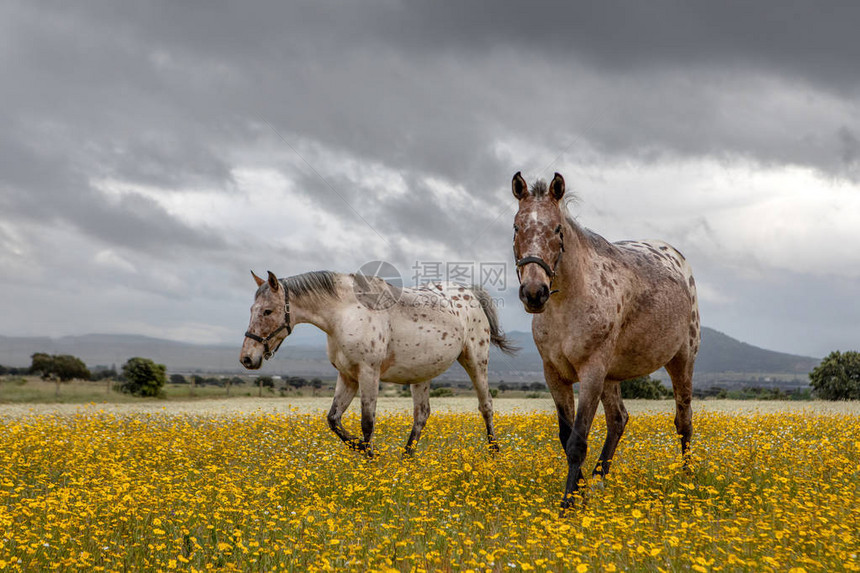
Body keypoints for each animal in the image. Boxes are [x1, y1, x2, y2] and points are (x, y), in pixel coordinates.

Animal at [239, 268, 512, 456]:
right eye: (252, 310)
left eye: (267, 311)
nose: (247, 358)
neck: (345, 313)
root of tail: (471, 293)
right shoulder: (347, 377)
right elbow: (333, 419)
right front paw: (363, 449)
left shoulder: (368, 373)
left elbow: (367, 422)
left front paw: (371, 458)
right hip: (421, 375)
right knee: (421, 415)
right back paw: (406, 458)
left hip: (476, 362)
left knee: (486, 406)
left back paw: (494, 452)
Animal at [510, 171, 700, 510]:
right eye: (517, 227)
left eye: (557, 229)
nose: (534, 293)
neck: (567, 305)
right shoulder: (555, 375)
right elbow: (566, 436)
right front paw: (582, 490)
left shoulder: (591, 373)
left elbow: (577, 440)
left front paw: (568, 504)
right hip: (612, 376)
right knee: (618, 420)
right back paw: (600, 480)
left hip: (681, 361)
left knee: (683, 421)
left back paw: (687, 477)